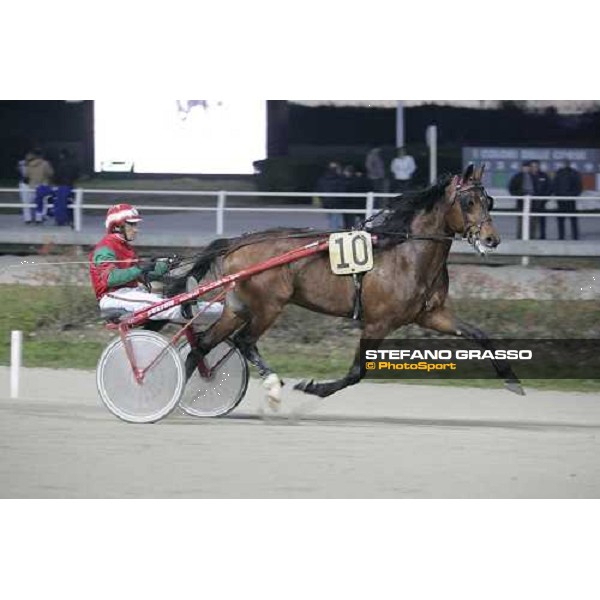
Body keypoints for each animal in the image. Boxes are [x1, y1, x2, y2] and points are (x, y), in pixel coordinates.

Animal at [166, 164, 524, 406]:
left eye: (489, 201)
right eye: (468, 203)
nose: (492, 239)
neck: (407, 255)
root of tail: (236, 243)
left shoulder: (431, 315)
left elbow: (479, 334)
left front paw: (512, 380)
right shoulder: (378, 322)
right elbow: (357, 372)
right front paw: (313, 387)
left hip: (237, 307)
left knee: (202, 345)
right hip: (268, 305)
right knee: (244, 341)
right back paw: (273, 383)